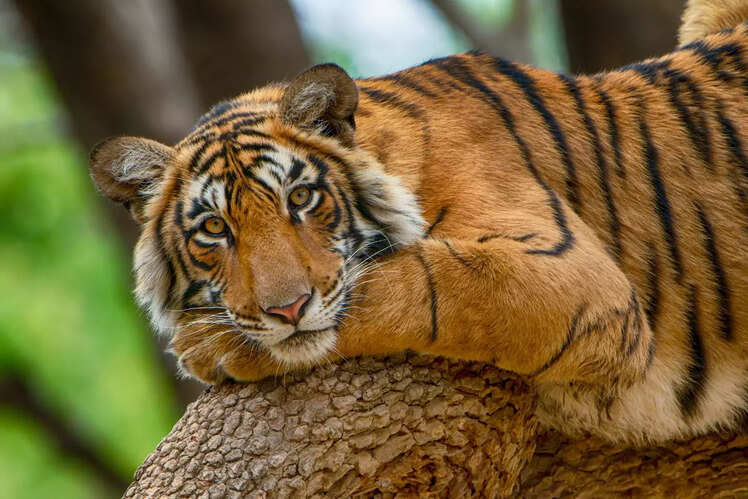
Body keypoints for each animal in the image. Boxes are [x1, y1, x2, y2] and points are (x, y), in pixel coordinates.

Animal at [90, 0, 748, 444]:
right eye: (214, 230)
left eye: (300, 198)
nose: (287, 309)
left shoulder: (574, 275)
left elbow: (416, 284)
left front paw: (210, 344)